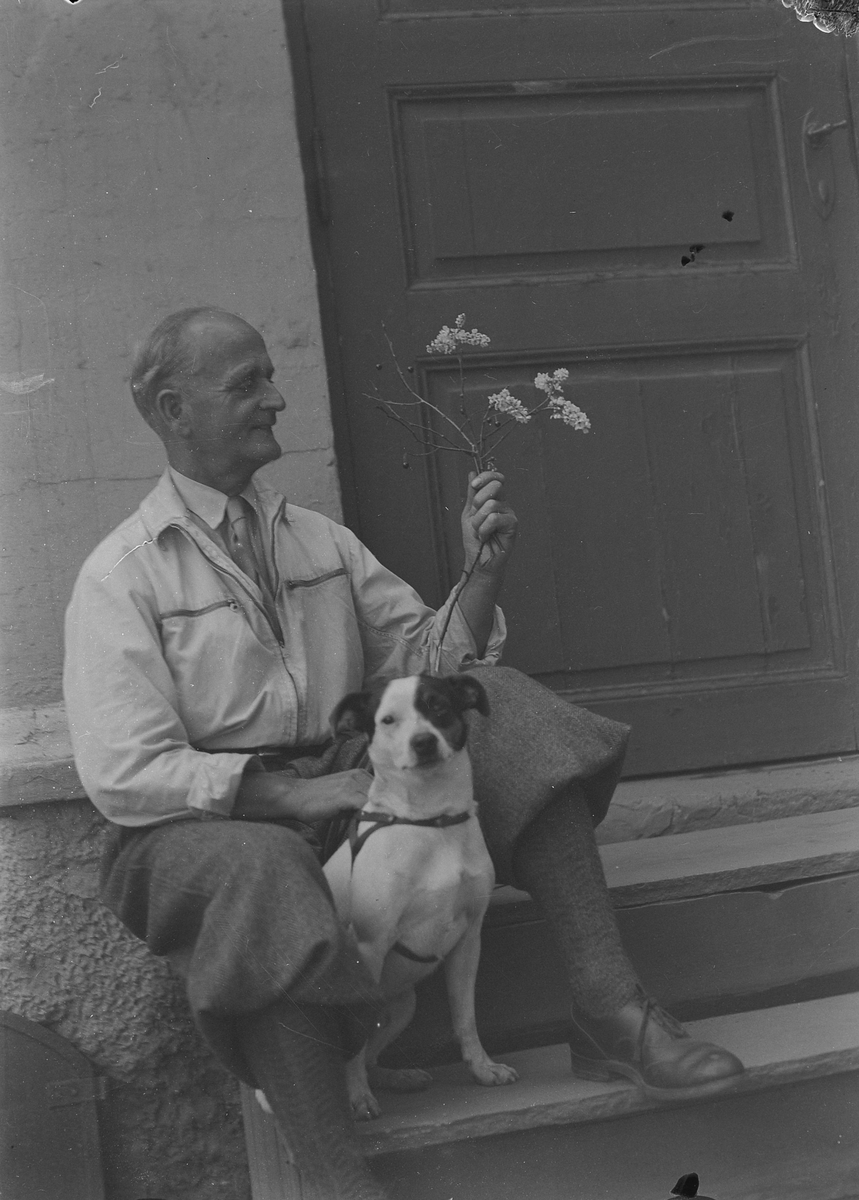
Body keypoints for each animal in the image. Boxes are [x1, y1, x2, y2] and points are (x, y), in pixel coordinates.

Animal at [319, 672, 513, 1118]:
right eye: (387, 720)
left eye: (438, 707)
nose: (423, 742)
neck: (431, 819)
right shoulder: (369, 945)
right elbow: (353, 1037)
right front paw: (357, 1098)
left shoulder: (468, 940)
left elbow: (465, 1018)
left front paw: (482, 1068)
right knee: (351, 1048)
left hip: (402, 1007)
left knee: (372, 1054)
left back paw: (398, 1077)